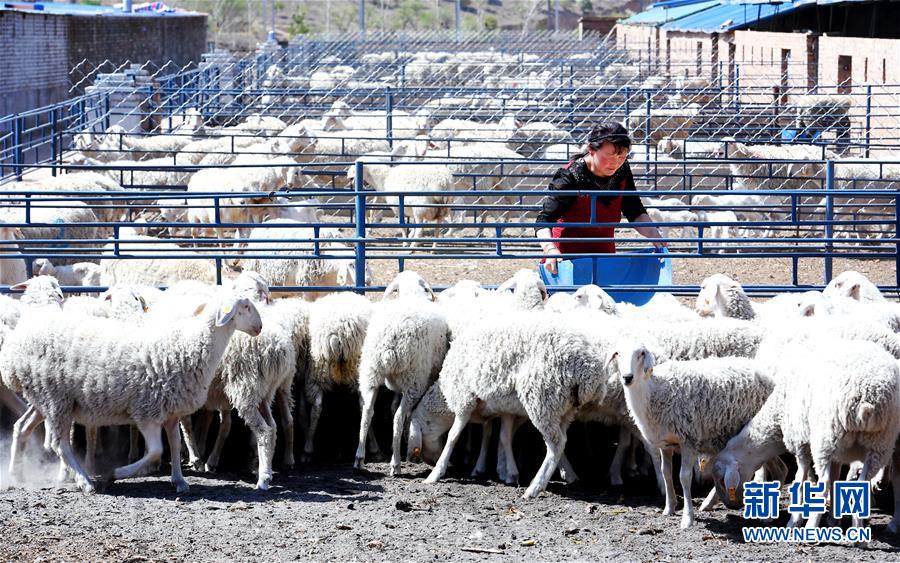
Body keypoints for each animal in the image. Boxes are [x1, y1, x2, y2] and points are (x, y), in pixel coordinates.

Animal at [3, 290, 262, 494]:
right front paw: (114, 473)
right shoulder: (147, 411)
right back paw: (85, 482)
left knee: (22, 427)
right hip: (56, 400)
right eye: (245, 306)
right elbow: (156, 451)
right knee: (59, 445)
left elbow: (175, 444)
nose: (260, 327)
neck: (188, 345)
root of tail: (15, 345)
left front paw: (179, 481)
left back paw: (16, 475)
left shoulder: (171, 412)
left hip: (45, 398)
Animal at [354, 272, 448, 476]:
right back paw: (395, 464)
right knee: (398, 417)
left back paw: (359, 459)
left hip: (371, 374)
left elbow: (391, 406)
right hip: (414, 379)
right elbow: (398, 412)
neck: (411, 293)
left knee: (367, 413)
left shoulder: (397, 385)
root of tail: (389, 344)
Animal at [616, 348, 776, 528]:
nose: (627, 377)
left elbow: (684, 477)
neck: (655, 391)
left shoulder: (688, 441)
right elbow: (666, 473)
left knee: (760, 466)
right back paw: (710, 502)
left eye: (642, 353)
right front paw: (669, 508)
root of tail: (763, 372)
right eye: (617, 354)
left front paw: (687, 518)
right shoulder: (666, 444)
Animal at [712, 342, 900, 532]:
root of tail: (867, 401)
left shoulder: (800, 440)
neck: (777, 416)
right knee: (863, 482)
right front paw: (833, 519)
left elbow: (801, 478)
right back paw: (858, 531)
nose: (732, 506)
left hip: (826, 438)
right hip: (878, 444)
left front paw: (795, 520)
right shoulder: (836, 453)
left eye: (721, 480)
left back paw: (811, 526)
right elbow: (835, 478)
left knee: (824, 483)